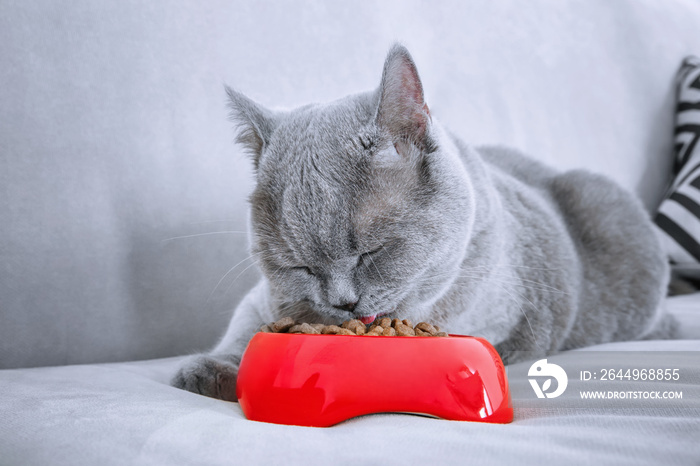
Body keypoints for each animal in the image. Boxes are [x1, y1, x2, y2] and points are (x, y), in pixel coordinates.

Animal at [171, 43, 680, 400]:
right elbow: (246, 328)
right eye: (300, 267)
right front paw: (210, 368)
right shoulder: (263, 299)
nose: (343, 303)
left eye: (372, 251)